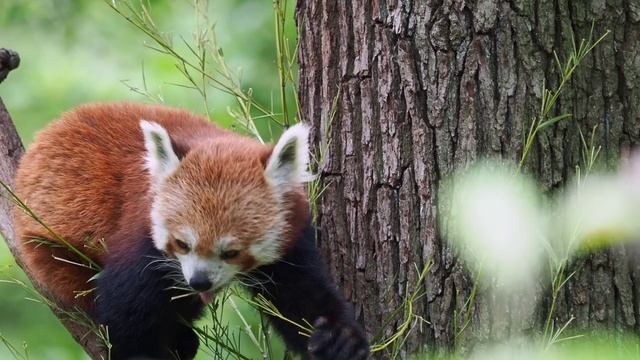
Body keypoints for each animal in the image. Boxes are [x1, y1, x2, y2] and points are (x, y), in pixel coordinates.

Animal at [12, 102, 368, 360]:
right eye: (182, 244)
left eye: (232, 252)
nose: (199, 281)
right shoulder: (141, 235)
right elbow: (128, 309)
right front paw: (142, 353)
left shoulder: (290, 239)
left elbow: (301, 294)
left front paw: (338, 338)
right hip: (49, 246)